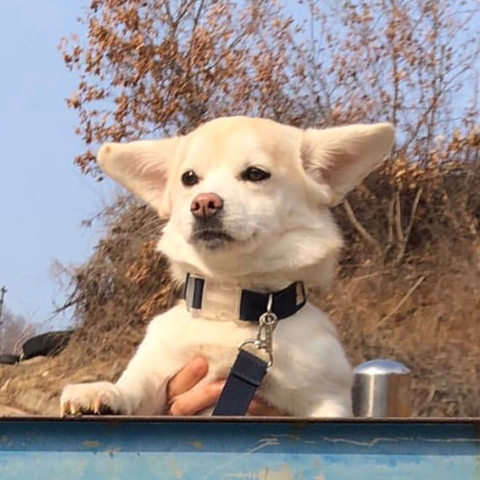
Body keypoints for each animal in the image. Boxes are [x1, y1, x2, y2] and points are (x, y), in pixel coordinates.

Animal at [60, 116, 394, 417]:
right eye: (189, 178)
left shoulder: (326, 399)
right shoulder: (158, 371)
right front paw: (102, 392)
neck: (231, 304)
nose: (203, 203)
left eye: (256, 174)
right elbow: (135, 387)